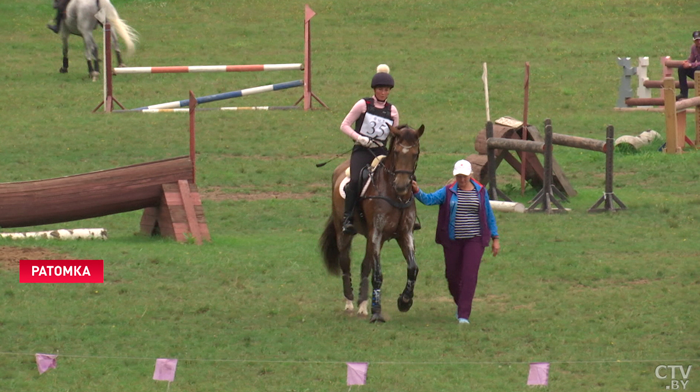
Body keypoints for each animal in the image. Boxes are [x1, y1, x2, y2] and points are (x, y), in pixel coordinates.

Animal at [320, 124, 424, 324]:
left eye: (415, 154)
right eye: (397, 152)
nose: (402, 186)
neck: (395, 195)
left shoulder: (404, 233)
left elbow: (413, 268)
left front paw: (405, 301)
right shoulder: (376, 232)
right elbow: (378, 274)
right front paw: (376, 312)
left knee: (365, 266)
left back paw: (362, 306)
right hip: (344, 233)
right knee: (345, 263)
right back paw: (350, 304)